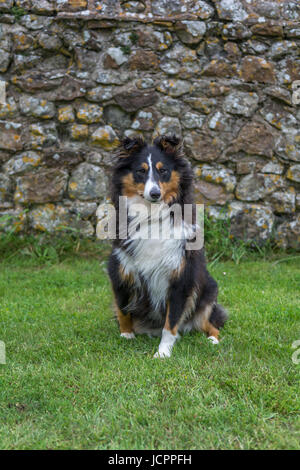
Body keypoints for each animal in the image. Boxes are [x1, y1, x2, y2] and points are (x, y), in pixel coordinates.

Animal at [108, 136, 227, 360]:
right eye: (141, 171)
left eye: (163, 171)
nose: (155, 193)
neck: (151, 214)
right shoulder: (120, 269)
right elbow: (122, 308)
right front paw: (126, 335)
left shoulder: (180, 278)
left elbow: (171, 322)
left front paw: (163, 352)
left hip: (207, 291)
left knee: (211, 322)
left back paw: (212, 340)